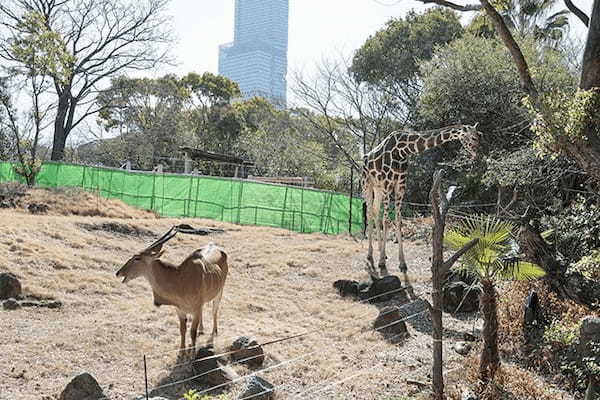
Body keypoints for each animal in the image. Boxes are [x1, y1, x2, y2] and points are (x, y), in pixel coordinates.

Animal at [360, 123, 482, 286]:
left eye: (480, 136)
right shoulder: (387, 184)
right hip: (368, 184)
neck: (402, 150)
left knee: (375, 212)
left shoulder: (400, 186)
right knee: (370, 213)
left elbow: (398, 221)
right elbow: (387, 221)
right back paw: (371, 255)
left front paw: (402, 263)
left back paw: (381, 252)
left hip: (378, 188)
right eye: (473, 137)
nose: (477, 156)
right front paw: (381, 263)